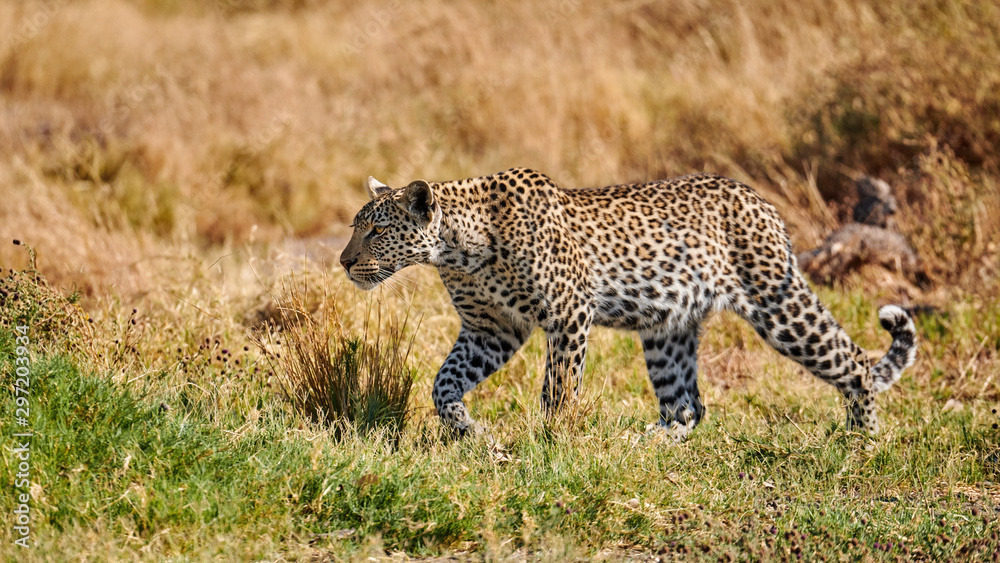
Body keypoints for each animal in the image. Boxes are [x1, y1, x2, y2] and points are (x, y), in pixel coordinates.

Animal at [339, 168, 917, 440]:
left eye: (376, 231)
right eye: (356, 227)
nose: (344, 263)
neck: (459, 249)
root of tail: (757, 198)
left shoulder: (568, 314)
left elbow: (558, 388)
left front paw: (554, 443)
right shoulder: (491, 329)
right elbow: (444, 382)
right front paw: (469, 431)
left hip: (777, 301)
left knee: (854, 361)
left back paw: (862, 440)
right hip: (668, 329)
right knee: (688, 407)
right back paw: (645, 443)